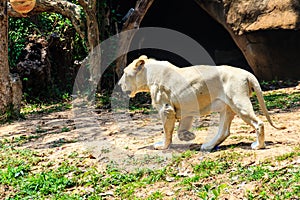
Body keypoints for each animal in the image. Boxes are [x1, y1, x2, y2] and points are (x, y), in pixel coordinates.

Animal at [118, 55, 284, 151]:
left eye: (125, 73)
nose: (119, 84)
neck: (148, 73)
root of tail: (247, 73)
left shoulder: (166, 109)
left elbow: (167, 131)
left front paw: (163, 146)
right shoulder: (185, 106)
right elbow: (180, 128)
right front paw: (188, 136)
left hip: (239, 102)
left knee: (259, 123)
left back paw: (258, 146)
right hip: (227, 107)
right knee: (224, 131)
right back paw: (208, 146)